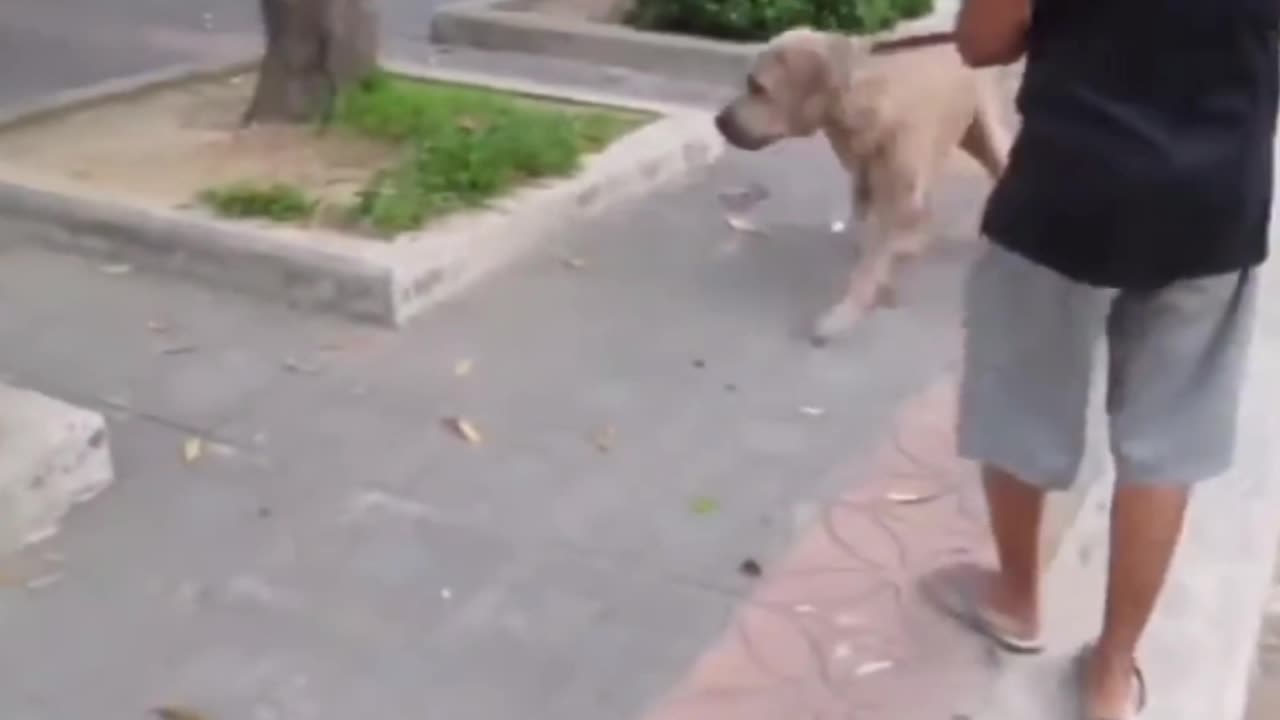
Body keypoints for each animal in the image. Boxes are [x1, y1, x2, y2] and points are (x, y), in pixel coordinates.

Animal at [716, 26, 1003, 343]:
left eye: (757, 88)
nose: (718, 121)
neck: (857, 101)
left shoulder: (896, 192)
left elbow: (871, 262)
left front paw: (846, 312)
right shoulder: (865, 183)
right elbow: (868, 239)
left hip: (984, 133)